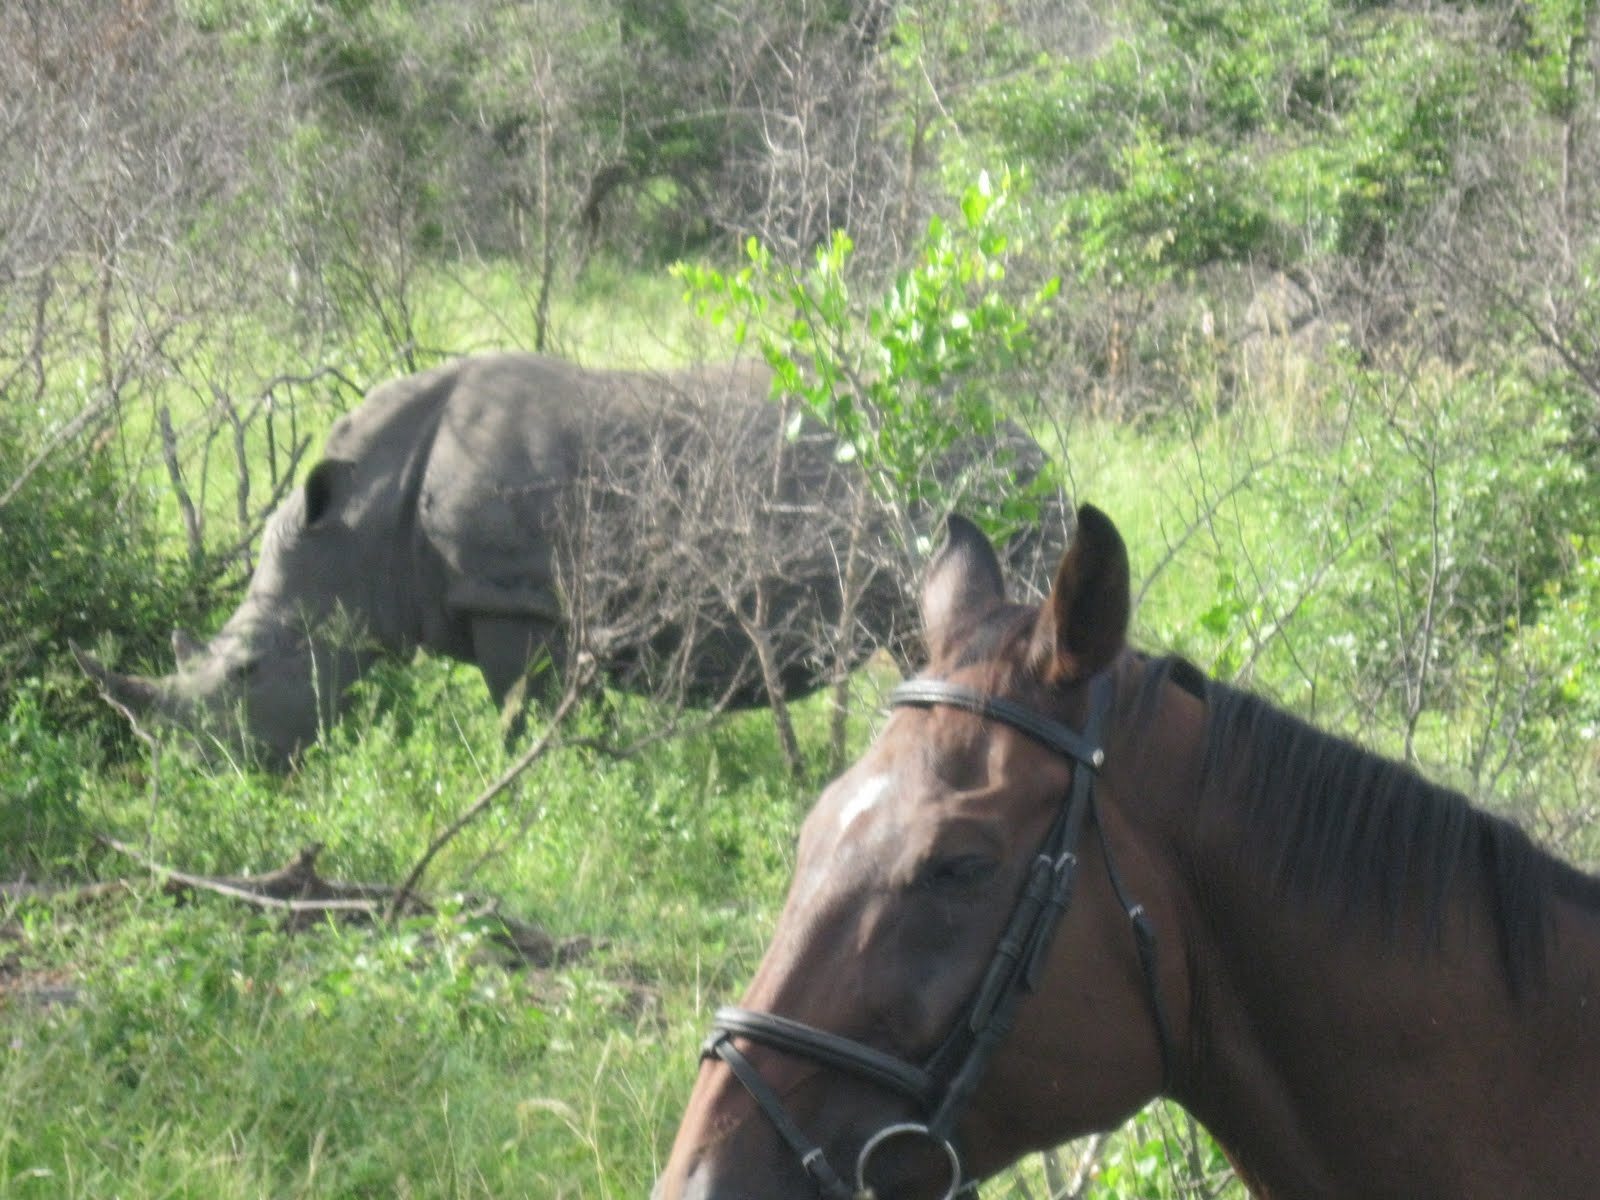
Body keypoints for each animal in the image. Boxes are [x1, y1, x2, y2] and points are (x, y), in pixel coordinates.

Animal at [75, 352, 1062, 767]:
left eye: (246, 671)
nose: (187, 774)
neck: (353, 531)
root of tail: (1036, 446)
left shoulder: (514, 598)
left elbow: (519, 715)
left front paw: (532, 785)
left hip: (993, 495)